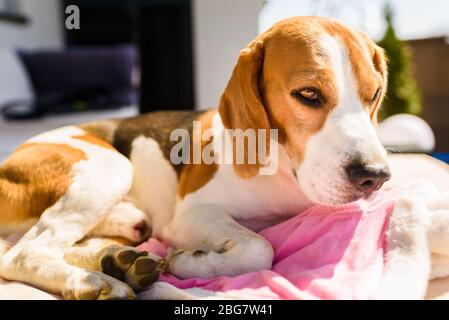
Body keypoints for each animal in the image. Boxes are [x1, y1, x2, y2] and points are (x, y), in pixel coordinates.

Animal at [0, 16, 388, 298]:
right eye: (307, 94)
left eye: (374, 94)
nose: (375, 176)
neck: (281, 170)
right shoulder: (191, 215)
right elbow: (260, 248)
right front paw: (188, 262)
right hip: (107, 169)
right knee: (21, 254)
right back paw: (95, 281)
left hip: (129, 219)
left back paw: (118, 264)